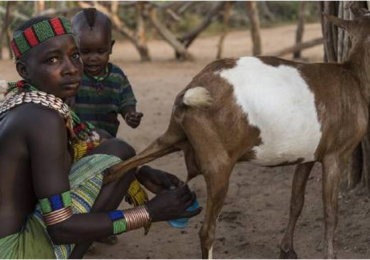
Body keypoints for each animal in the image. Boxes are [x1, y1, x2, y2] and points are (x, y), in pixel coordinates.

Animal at [103, 7, 370, 258]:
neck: (354, 78)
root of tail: (191, 91)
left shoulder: (307, 155)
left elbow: (296, 202)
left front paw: (287, 250)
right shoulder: (336, 154)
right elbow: (331, 212)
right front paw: (329, 255)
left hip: (172, 135)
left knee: (117, 169)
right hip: (219, 164)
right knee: (207, 231)